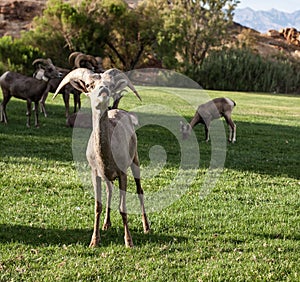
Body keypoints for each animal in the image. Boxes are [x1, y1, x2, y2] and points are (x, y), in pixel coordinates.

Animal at [54, 67, 150, 247]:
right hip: (107, 177)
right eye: (90, 85)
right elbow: (97, 206)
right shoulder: (95, 173)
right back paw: (107, 224)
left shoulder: (122, 172)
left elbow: (123, 207)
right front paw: (94, 241)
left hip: (135, 160)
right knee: (109, 191)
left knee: (139, 189)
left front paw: (129, 242)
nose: (103, 94)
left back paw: (146, 226)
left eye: (110, 85)